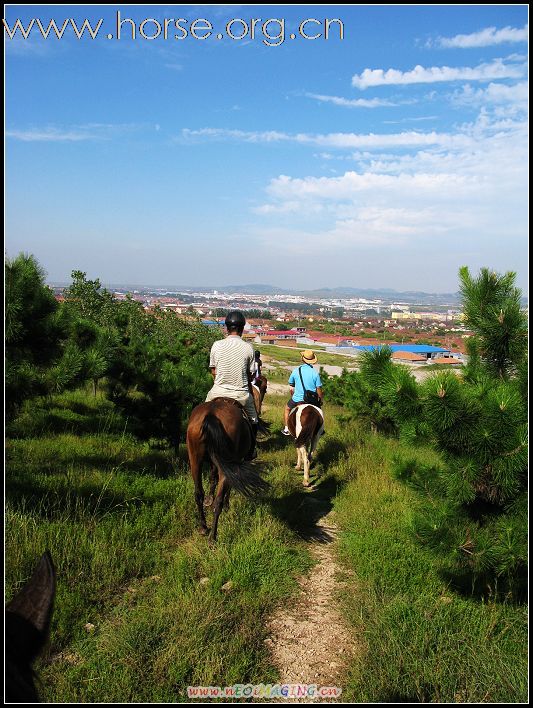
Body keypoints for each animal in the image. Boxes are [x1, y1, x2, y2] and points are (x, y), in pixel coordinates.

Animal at [187, 398, 270, 544]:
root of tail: (211, 414)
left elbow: (212, 477)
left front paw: (209, 498)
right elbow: (229, 486)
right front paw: (226, 504)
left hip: (195, 460)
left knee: (198, 494)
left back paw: (203, 527)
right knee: (218, 501)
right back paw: (213, 537)